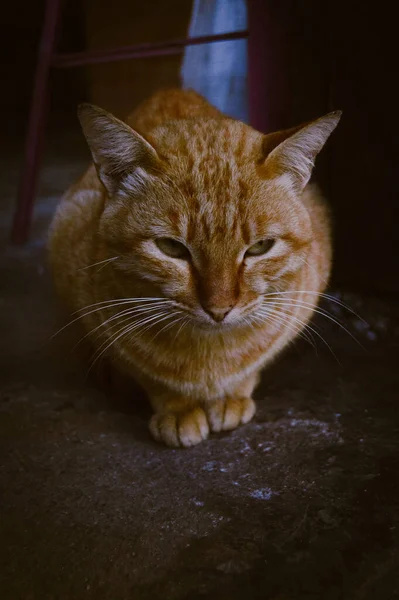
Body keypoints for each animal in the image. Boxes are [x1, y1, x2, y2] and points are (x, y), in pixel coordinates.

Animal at [47, 88, 340, 446]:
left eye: (259, 247)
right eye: (172, 248)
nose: (219, 309)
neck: (209, 355)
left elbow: (253, 367)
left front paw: (232, 395)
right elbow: (148, 375)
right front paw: (178, 408)